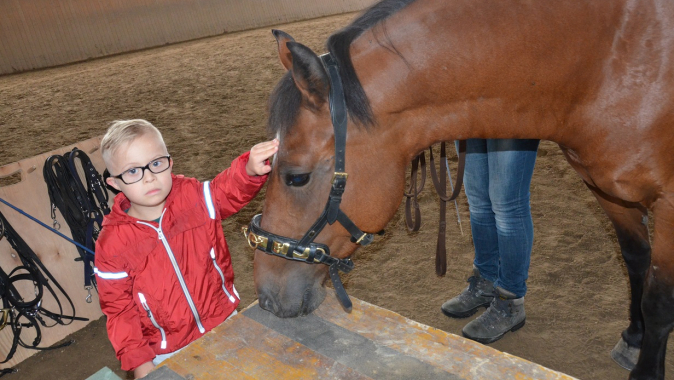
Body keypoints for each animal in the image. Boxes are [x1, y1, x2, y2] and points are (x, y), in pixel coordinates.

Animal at [249, 1, 672, 378]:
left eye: (296, 177)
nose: (266, 295)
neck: (606, 60)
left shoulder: (668, 205)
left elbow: (658, 297)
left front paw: (646, 367)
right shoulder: (607, 190)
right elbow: (636, 261)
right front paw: (634, 338)